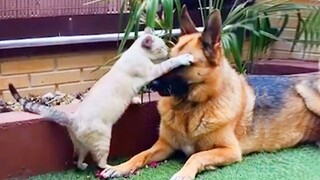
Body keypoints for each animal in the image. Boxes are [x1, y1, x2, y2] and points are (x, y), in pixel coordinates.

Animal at [8, 27, 192, 170]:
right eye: (162, 47)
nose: (168, 50)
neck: (135, 52)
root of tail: (73, 118)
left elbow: (133, 96)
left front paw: (136, 101)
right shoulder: (152, 71)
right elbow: (169, 64)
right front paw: (184, 58)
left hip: (81, 145)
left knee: (79, 159)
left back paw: (83, 166)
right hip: (104, 140)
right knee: (100, 163)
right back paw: (113, 168)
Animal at [100, 5, 320, 180]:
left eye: (183, 64)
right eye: (169, 59)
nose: (151, 84)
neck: (190, 109)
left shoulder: (230, 150)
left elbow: (196, 155)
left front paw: (184, 173)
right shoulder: (164, 145)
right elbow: (140, 154)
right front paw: (121, 166)